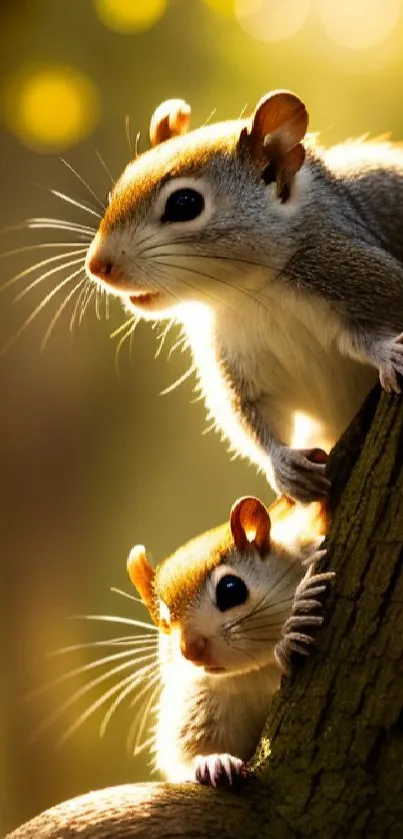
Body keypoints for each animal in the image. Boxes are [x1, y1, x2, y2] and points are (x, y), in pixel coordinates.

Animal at [85, 92, 403, 502]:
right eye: (121, 184)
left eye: (184, 203)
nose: (97, 265)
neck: (252, 293)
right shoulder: (234, 356)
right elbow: (249, 415)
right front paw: (282, 465)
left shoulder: (353, 272)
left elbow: (368, 331)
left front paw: (387, 352)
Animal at [127, 496, 334, 784]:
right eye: (164, 620)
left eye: (230, 590)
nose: (190, 650)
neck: (255, 673)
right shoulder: (196, 701)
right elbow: (183, 755)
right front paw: (213, 760)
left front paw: (295, 628)